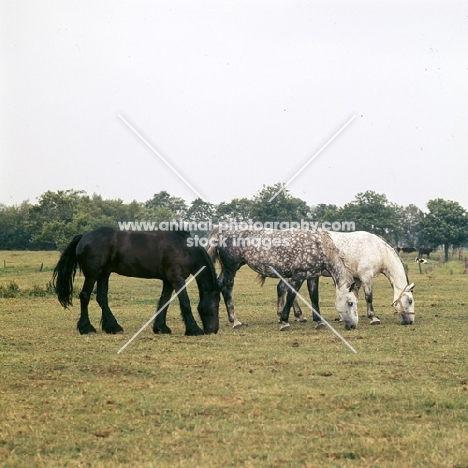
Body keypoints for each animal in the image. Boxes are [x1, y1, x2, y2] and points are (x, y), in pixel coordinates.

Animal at [52, 228, 220, 334]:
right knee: (85, 296)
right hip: (93, 275)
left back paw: (113, 327)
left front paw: (161, 328)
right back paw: (87, 328)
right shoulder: (176, 279)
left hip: (104, 274)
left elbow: (164, 302)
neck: (185, 248)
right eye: (216, 305)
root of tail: (84, 236)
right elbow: (185, 303)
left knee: (102, 298)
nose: (213, 330)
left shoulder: (168, 281)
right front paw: (194, 329)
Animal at [207, 226, 360, 330]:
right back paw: (235, 321)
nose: (353, 326)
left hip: (227, 269)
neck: (318, 246)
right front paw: (285, 321)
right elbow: (291, 295)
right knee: (227, 289)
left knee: (220, 285)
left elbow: (314, 297)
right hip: (231, 268)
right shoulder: (298, 275)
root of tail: (223, 230)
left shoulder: (312, 276)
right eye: (350, 303)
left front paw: (319, 321)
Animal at [282, 230, 416, 326]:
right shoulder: (366, 276)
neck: (377, 249)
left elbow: (353, 295)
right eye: (410, 301)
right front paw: (373, 318)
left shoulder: (356, 278)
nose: (410, 321)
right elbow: (369, 297)